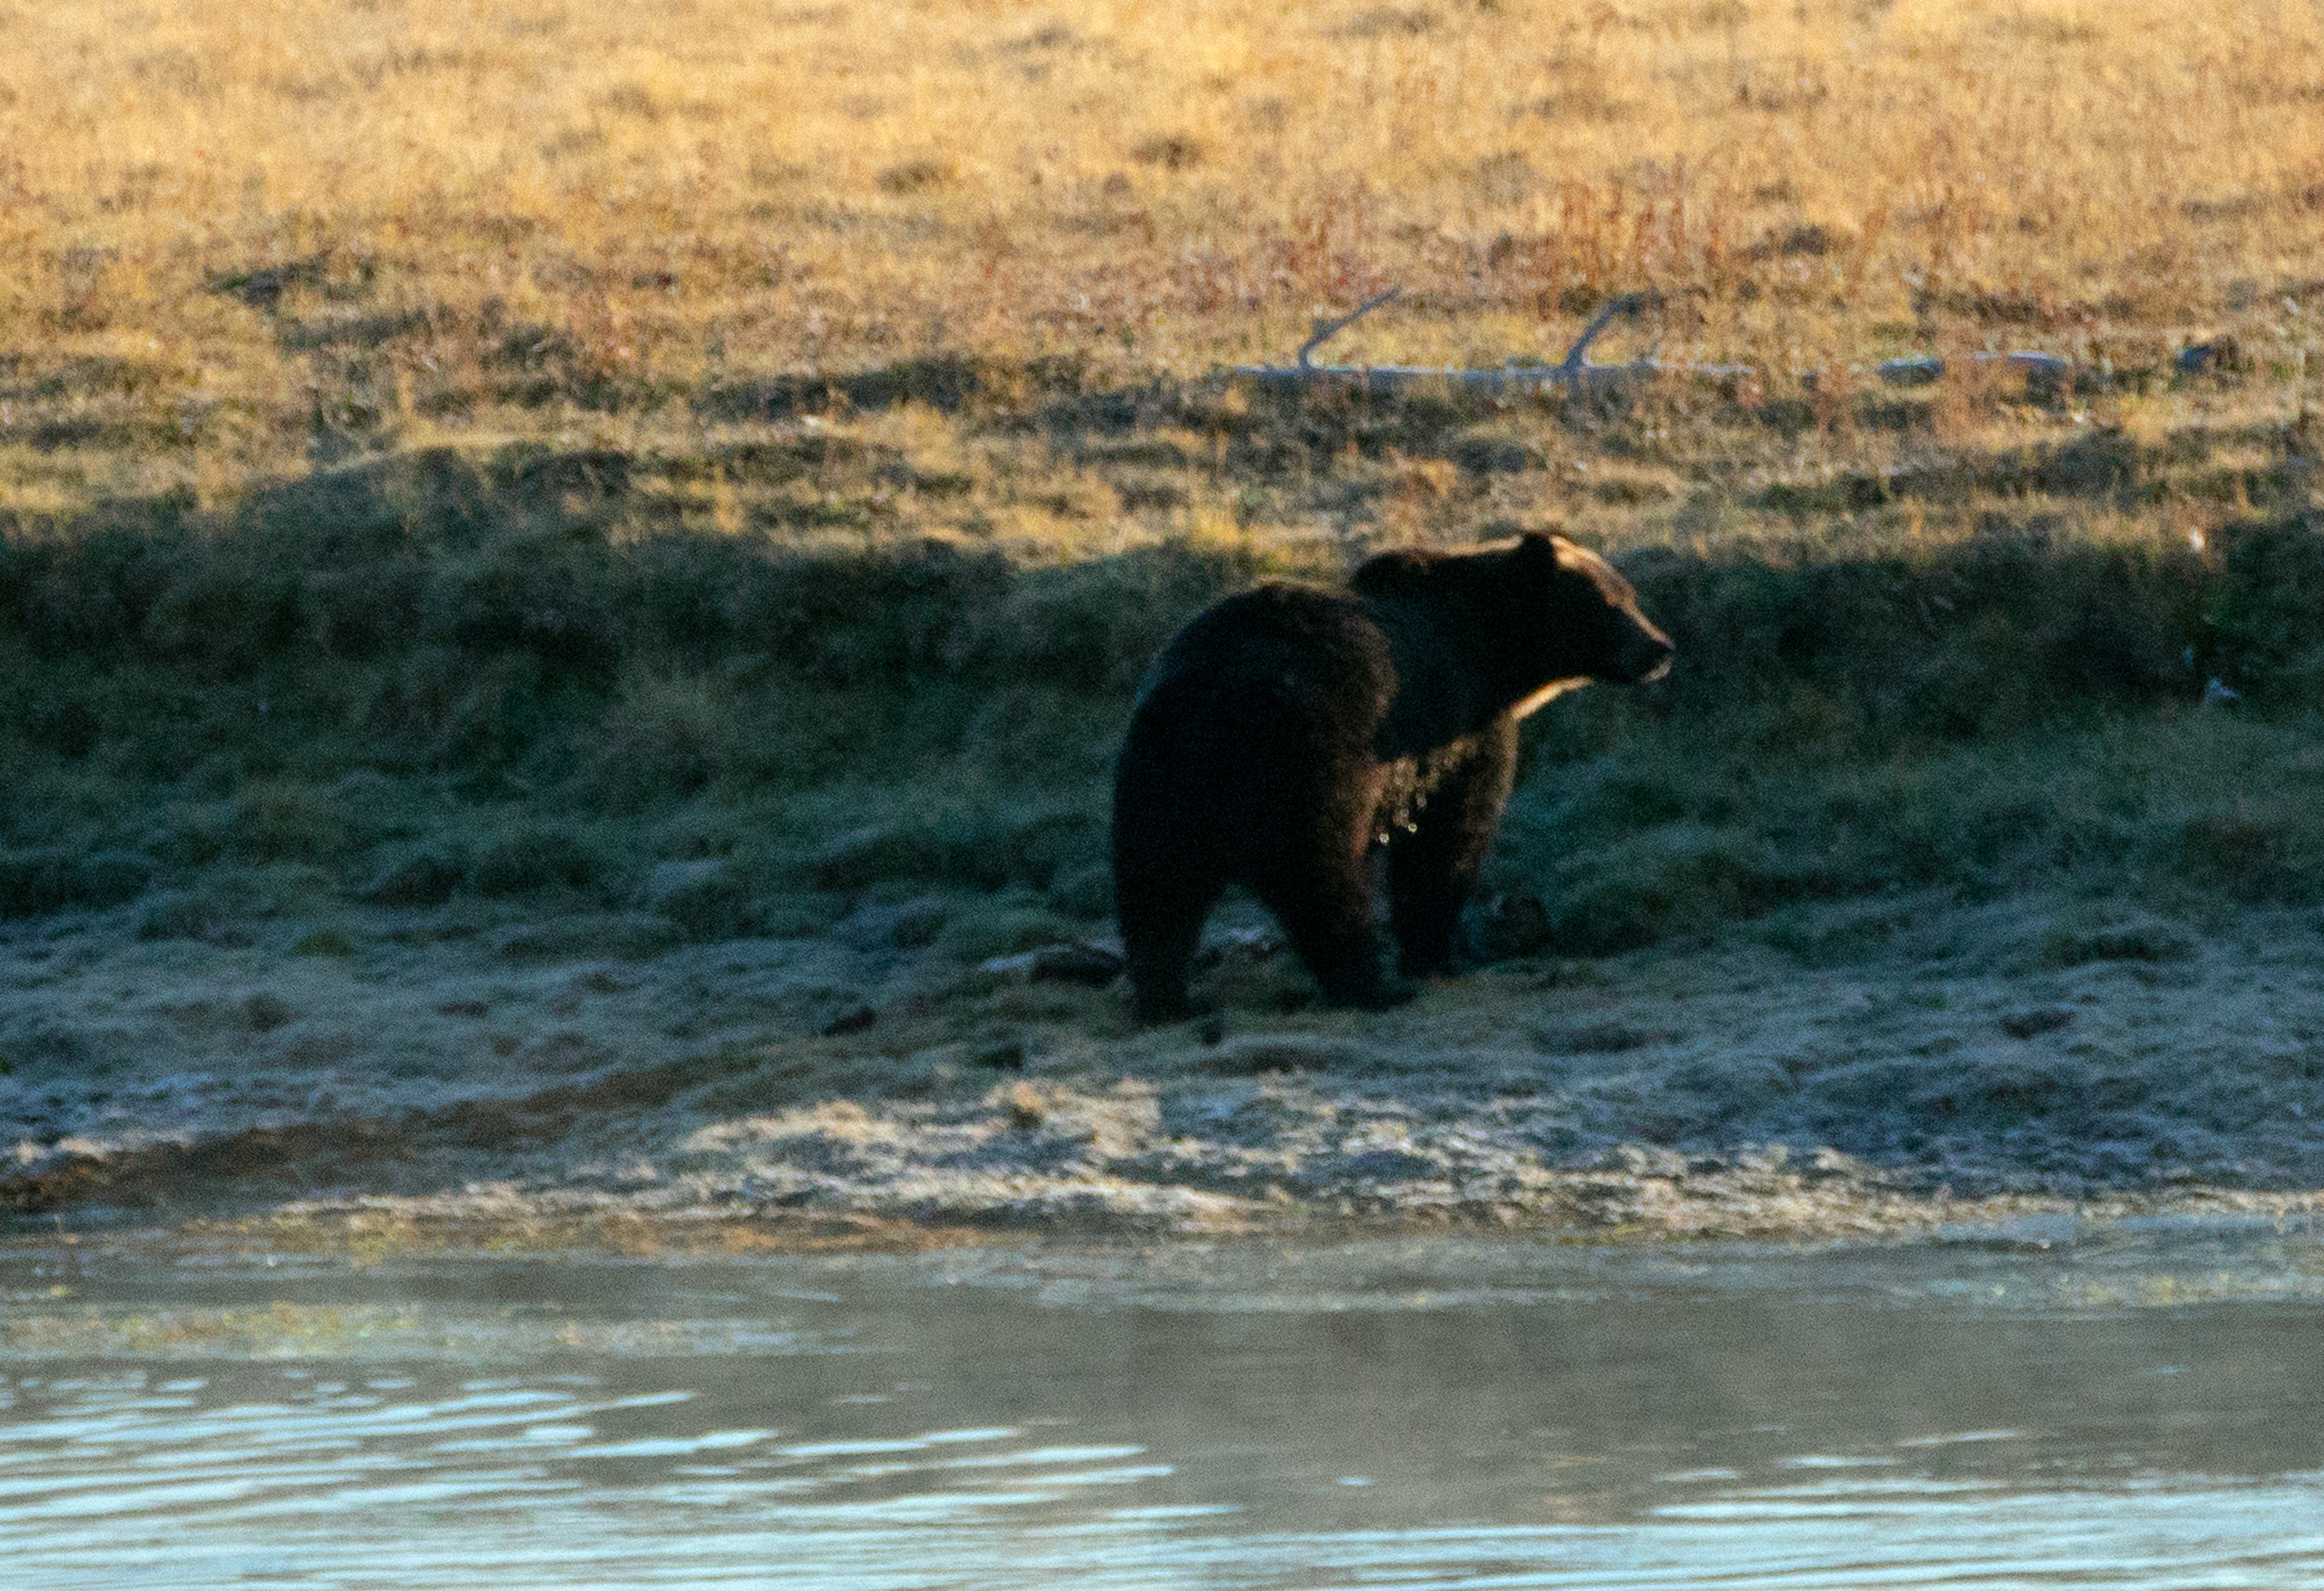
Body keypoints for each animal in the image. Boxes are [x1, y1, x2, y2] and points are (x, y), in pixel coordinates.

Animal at [1111, 534, 1673, 1022]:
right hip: (1309, 761)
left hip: (1161, 773)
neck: (1493, 653)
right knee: (1323, 878)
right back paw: (1371, 985)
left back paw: (1169, 999)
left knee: (1157, 889)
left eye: (1630, 594)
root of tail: (1219, 693)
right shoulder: (1459, 725)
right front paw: (1435, 957)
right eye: (1613, 602)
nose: (1661, 648)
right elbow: (1448, 842)